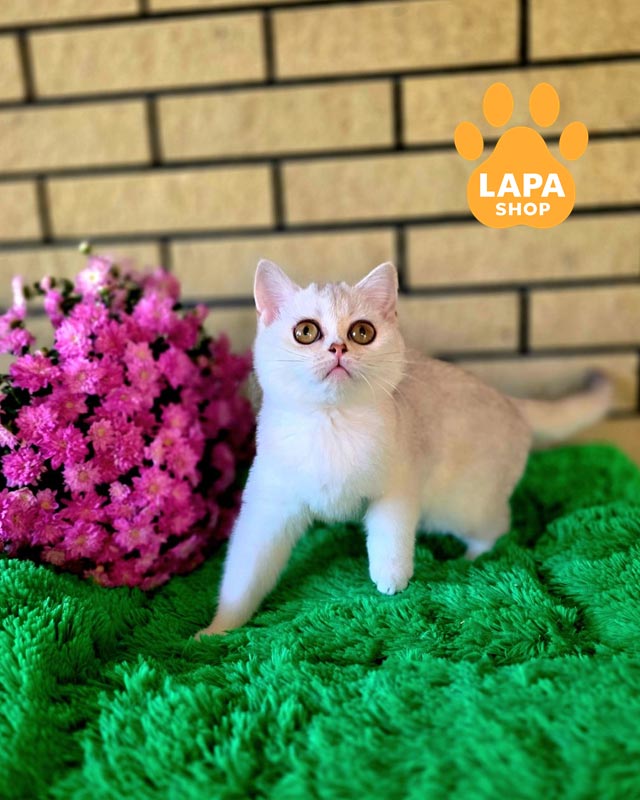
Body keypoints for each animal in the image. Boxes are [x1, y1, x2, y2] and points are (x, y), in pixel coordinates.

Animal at [196, 260, 611, 637]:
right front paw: (217, 630)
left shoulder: (398, 487)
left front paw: (390, 577)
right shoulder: (268, 510)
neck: (332, 423)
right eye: (306, 331)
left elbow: (390, 535)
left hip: (459, 507)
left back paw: (471, 557)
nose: (337, 347)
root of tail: (511, 402)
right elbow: (243, 576)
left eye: (362, 332)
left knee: (498, 525)